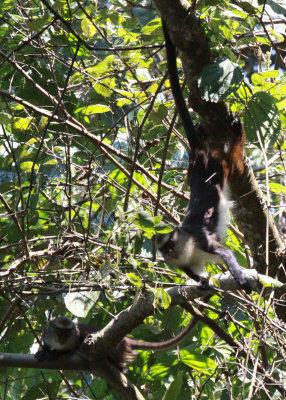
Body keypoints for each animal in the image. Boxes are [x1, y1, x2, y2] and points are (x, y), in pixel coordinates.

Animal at [34, 314, 198, 370]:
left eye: (68, 333)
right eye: (59, 331)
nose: (63, 338)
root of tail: (124, 340)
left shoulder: (77, 338)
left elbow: (74, 349)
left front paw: (55, 355)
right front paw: (44, 352)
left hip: (116, 347)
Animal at [156, 21, 250, 294]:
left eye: (170, 244)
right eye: (163, 249)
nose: (169, 253)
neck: (187, 247)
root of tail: (195, 159)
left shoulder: (202, 239)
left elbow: (225, 253)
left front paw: (240, 277)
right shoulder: (182, 265)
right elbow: (192, 273)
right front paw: (203, 283)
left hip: (215, 167)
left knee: (232, 160)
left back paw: (237, 134)